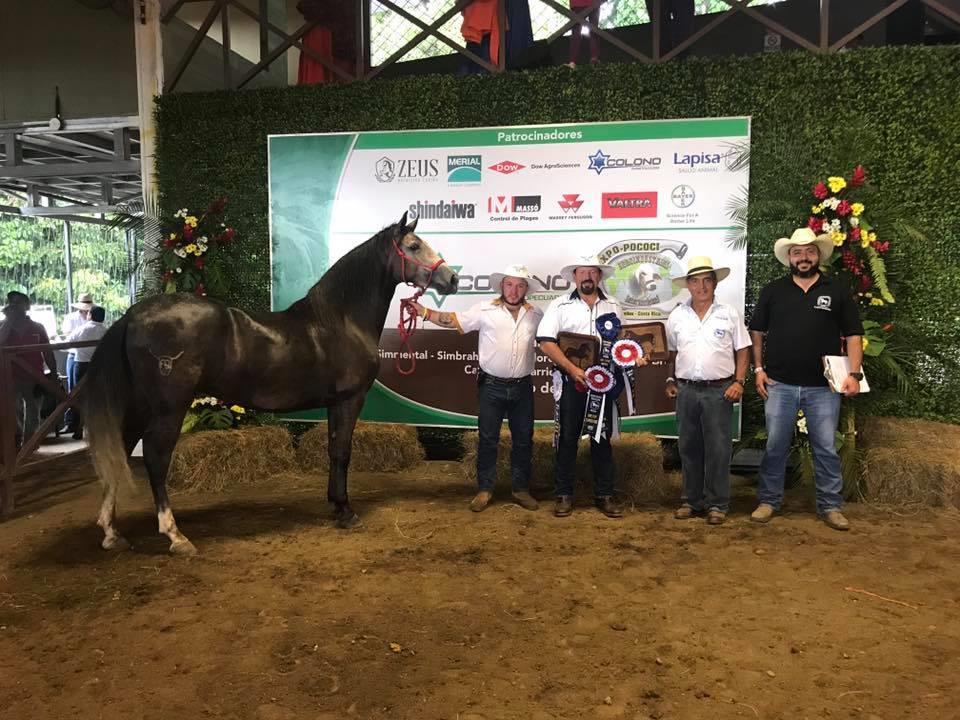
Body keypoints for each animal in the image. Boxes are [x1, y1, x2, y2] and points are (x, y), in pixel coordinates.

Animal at [83, 212, 457, 555]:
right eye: (413, 246)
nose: (452, 278)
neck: (340, 321)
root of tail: (134, 315)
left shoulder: (333, 403)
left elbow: (332, 450)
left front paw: (335, 505)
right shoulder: (350, 399)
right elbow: (342, 452)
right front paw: (346, 511)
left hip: (139, 404)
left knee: (120, 450)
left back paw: (111, 532)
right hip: (167, 408)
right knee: (155, 457)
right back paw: (175, 535)